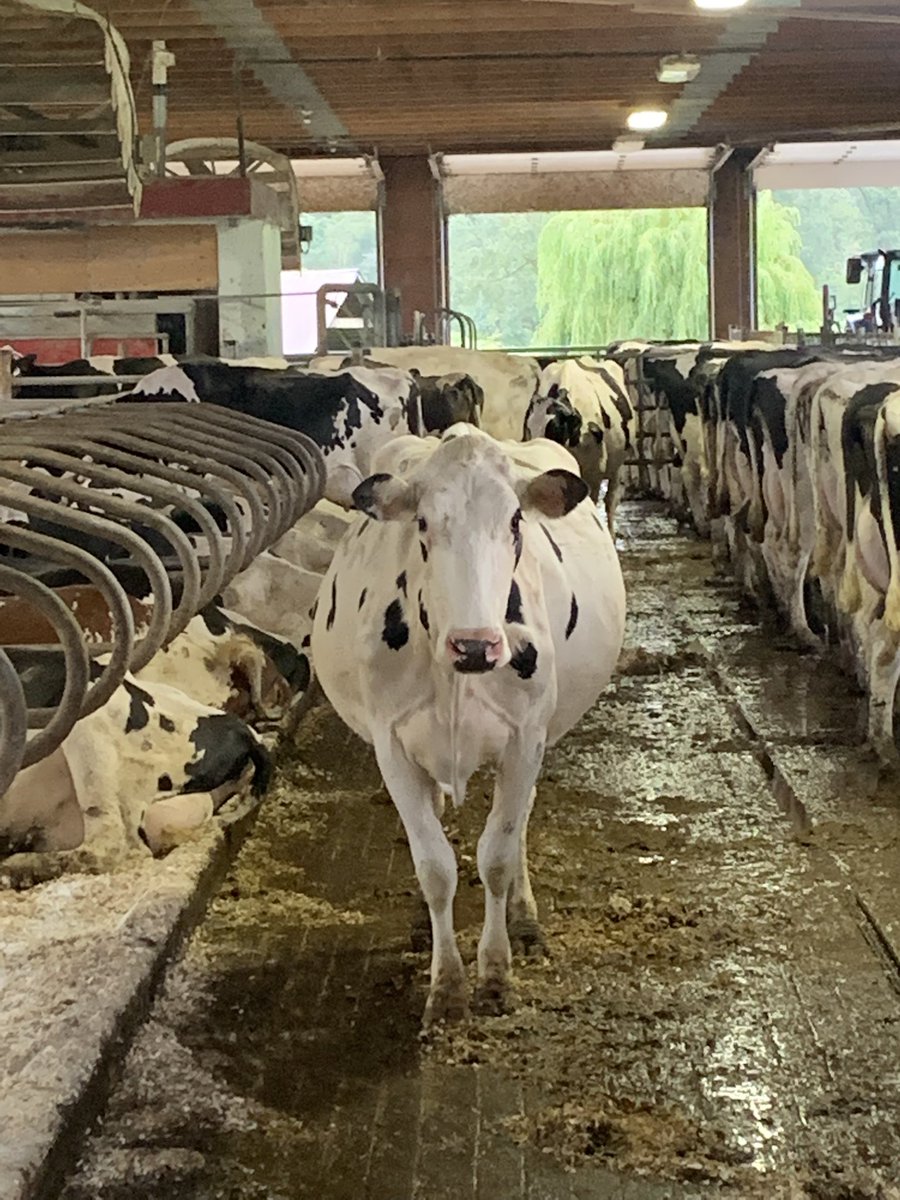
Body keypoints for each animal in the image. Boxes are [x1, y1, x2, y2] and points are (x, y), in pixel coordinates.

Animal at [311, 425, 626, 1027]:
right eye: (423, 523)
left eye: (516, 521)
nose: (476, 644)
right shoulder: (392, 747)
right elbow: (435, 867)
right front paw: (447, 986)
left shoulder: (526, 741)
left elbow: (496, 857)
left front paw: (496, 975)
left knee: (519, 824)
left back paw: (524, 919)